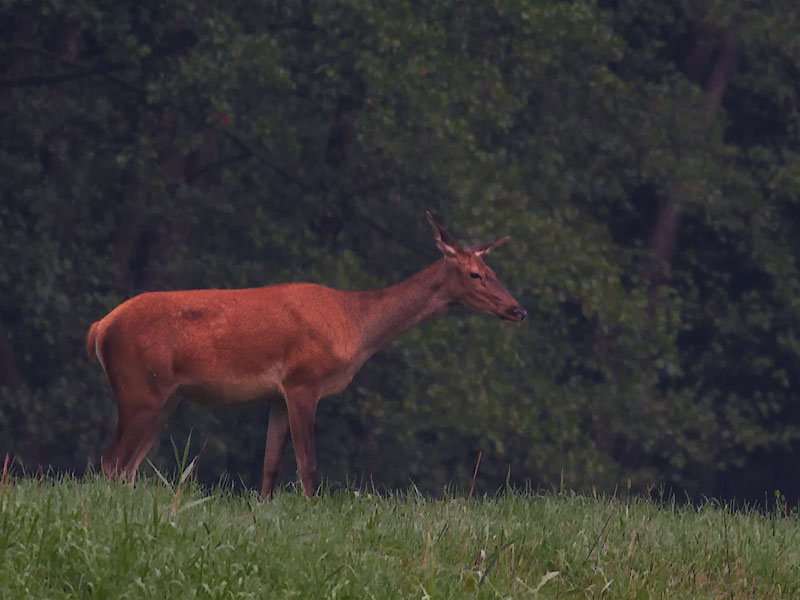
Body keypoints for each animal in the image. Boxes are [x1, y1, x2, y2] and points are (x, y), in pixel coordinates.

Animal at [87, 213, 524, 500]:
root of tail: (99, 328)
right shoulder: (303, 381)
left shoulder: (277, 395)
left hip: (167, 400)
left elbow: (270, 468)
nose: (517, 309)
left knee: (125, 468)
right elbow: (308, 466)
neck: (355, 326)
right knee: (110, 464)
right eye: (475, 274)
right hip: (140, 389)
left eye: (494, 270)